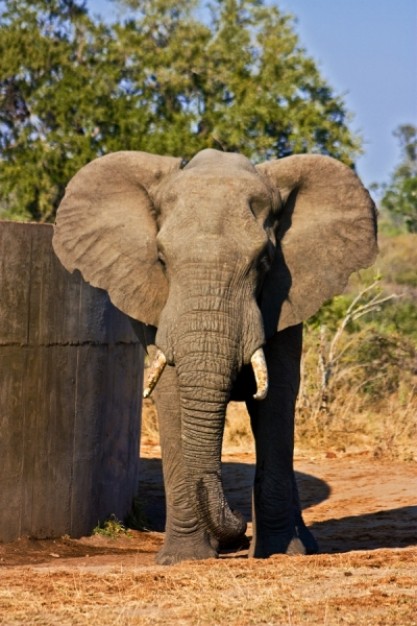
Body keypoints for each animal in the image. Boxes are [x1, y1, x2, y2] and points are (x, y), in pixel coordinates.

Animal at [52, 149, 376, 564]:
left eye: (265, 260)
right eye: (161, 259)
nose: (237, 530)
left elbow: (275, 401)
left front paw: (278, 554)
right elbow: (170, 393)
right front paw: (184, 559)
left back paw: (300, 547)